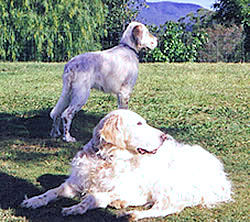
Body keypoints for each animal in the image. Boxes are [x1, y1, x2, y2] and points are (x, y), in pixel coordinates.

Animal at [22, 109, 232, 220]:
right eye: (139, 124)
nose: (164, 136)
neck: (106, 159)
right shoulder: (75, 183)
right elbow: (52, 192)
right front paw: (34, 200)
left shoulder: (129, 188)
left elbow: (93, 198)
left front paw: (75, 208)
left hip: (169, 182)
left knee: (169, 207)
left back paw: (133, 214)